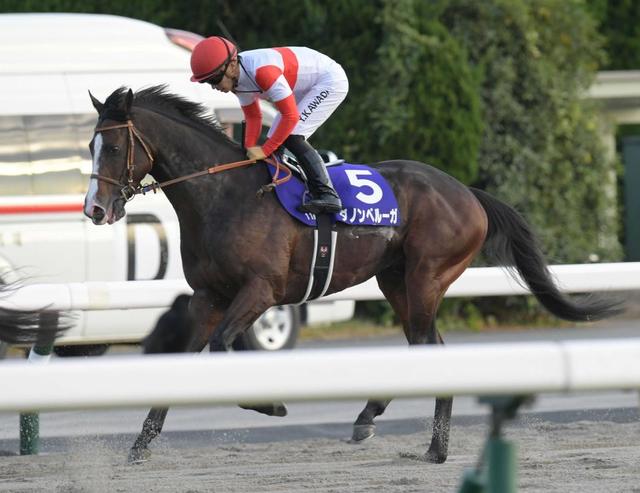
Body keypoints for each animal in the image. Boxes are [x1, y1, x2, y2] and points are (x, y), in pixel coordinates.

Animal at [84, 85, 621, 464]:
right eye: (89, 143)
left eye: (111, 146)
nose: (94, 209)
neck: (224, 196)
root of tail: (467, 192)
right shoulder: (208, 296)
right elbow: (184, 357)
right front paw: (139, 445)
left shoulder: (261, 291)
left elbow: (221, 347)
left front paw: (271, 406)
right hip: (396, 280)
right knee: (428, 346)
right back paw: (419, 441)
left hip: (428, 276)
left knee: (425, 347)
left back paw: (399, 430)